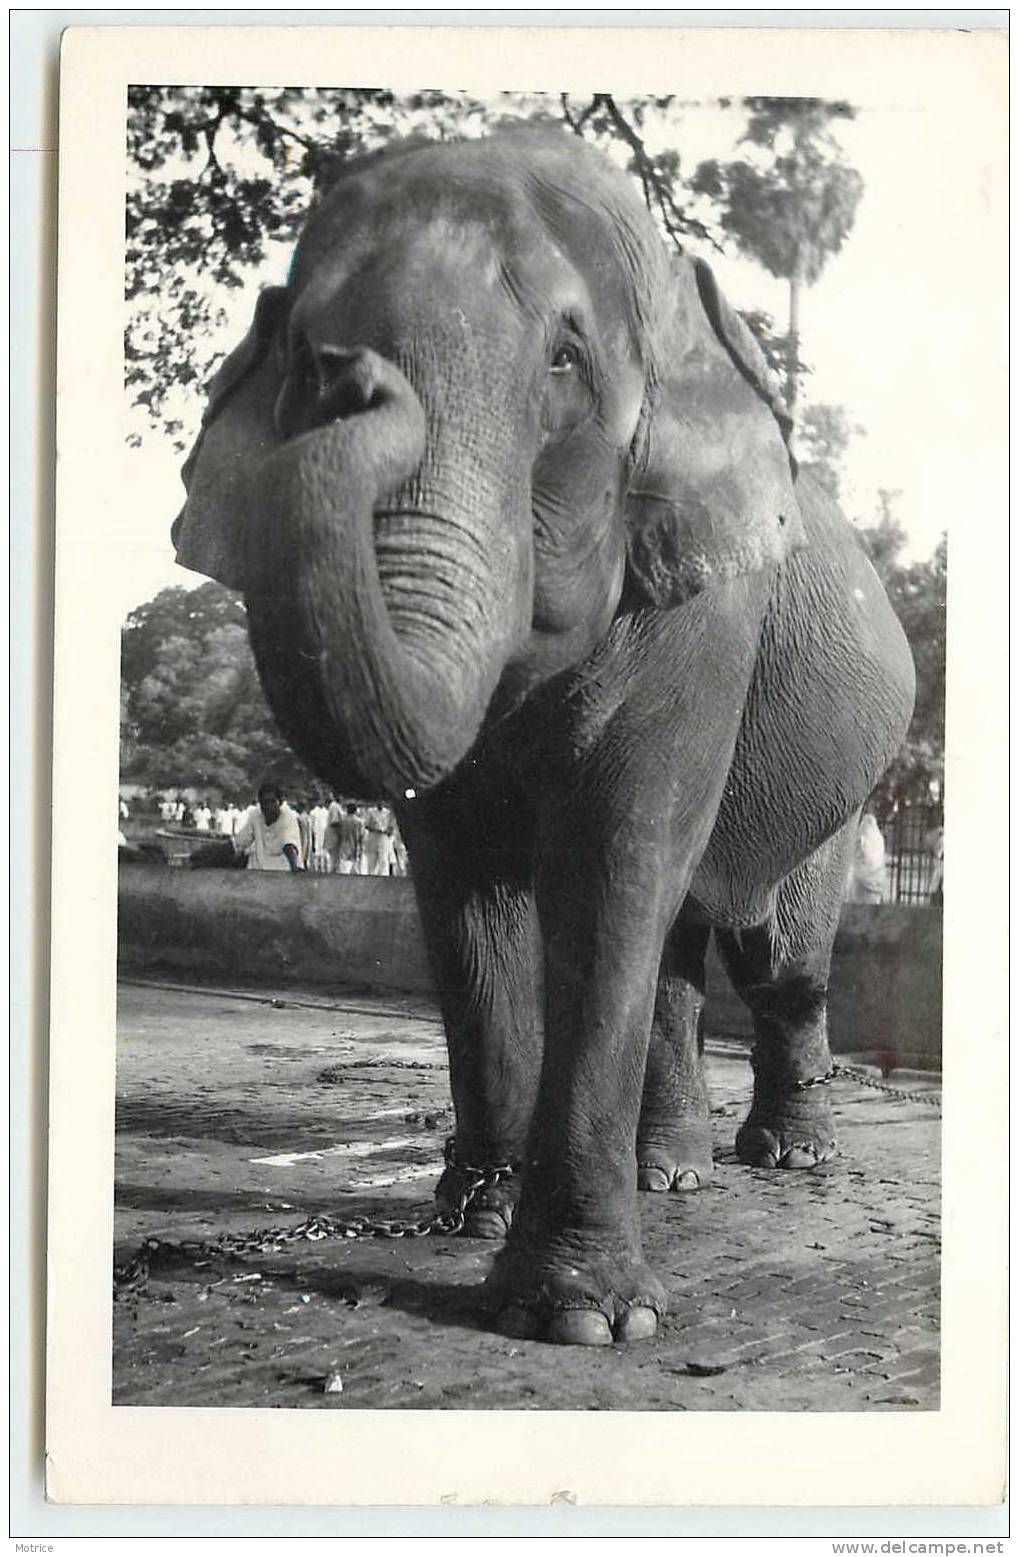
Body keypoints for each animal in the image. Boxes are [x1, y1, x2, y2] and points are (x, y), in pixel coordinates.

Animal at [176, 130, 916, 1351]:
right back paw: (672, 1172)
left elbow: (612, 857)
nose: (346, 377)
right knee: (681, 949)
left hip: (845, 792)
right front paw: (472, 1214)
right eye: (291, 350)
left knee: (773, 953)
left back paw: (787, 1155)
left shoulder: (700, 605)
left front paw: (582, 1320)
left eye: (565, 360)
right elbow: (459, 881)